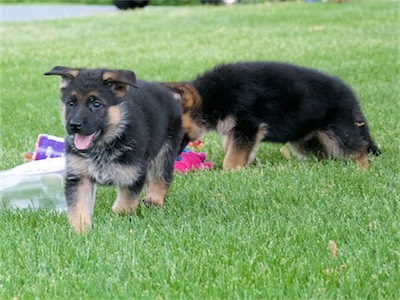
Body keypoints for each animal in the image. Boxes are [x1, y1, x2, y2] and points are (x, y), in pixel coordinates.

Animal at [44, 66, 182, 232]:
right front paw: (80, 230)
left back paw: (154, 199)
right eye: (71, 103)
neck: (104, 145)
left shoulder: (133, 173)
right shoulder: (79, 176)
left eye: (96, 104)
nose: (74, 125)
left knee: (162, 176)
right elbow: (78, 206)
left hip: (166, 148)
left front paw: (118, 219)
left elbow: (125, 204)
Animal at [166, 61, 382, 169]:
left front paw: (232, 169)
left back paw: (362, 169)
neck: (212, 97)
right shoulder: (239, 130)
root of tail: (351, 97)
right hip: (307, 141)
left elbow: (233, 154)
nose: (173, 157)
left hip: (337, 132)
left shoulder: (249, 125)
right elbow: (230, 146)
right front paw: (249, 161)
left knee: (358, 149)